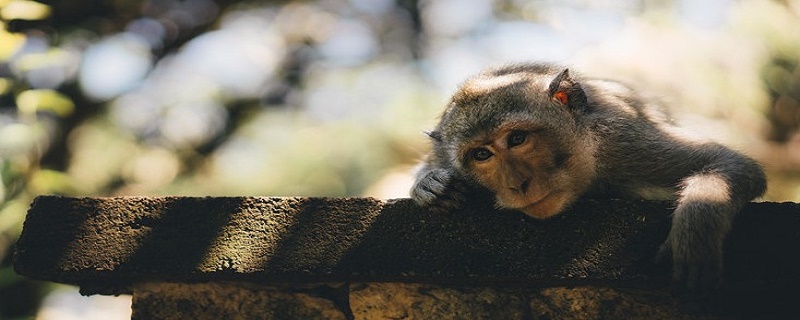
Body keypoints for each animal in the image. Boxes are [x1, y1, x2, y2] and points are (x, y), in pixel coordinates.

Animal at [412, 62, 768, 290]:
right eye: (481, 155)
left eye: (517, 138)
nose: (517, 184)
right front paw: (431, 186)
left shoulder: (621, 140)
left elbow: (729, 162)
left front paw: (696, 230)